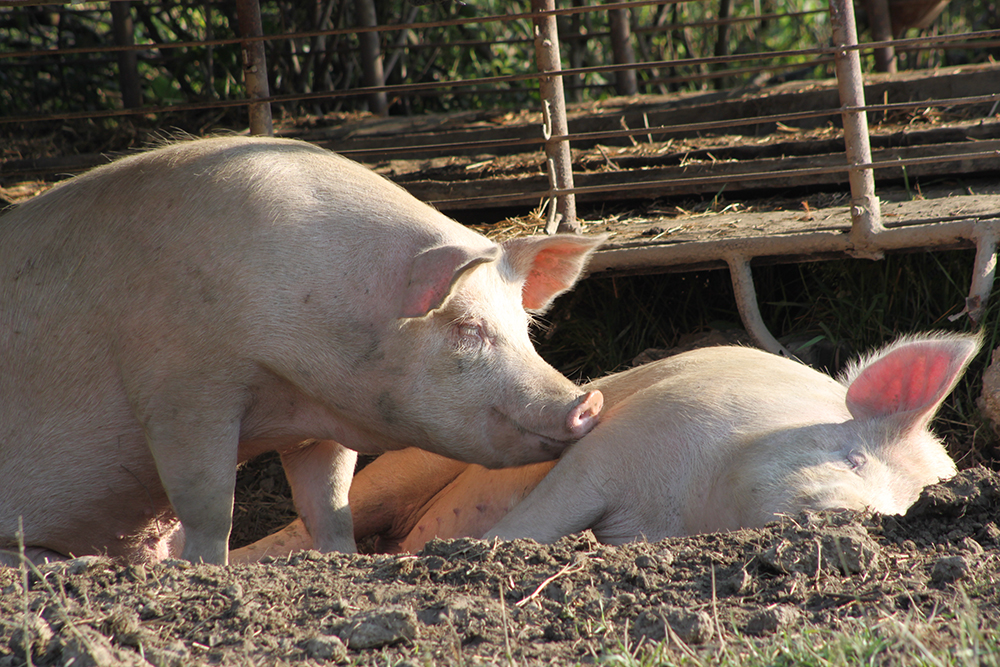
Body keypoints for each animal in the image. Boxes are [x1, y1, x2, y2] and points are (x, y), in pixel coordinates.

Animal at [1, 137, 600, 568]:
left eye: (524, 327)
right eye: (468, 327)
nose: (586, 402)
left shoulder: (319, 424)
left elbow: (331, 505)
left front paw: (344, 561)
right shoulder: (182, 389)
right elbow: (210, 506)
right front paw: (207, 571)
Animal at [232, 332, 976, 560]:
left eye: (903, 508)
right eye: (853, 457)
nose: (859, 516)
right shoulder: (619, 444)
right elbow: (539, 517)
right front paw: (470, 550)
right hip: (412, 465)